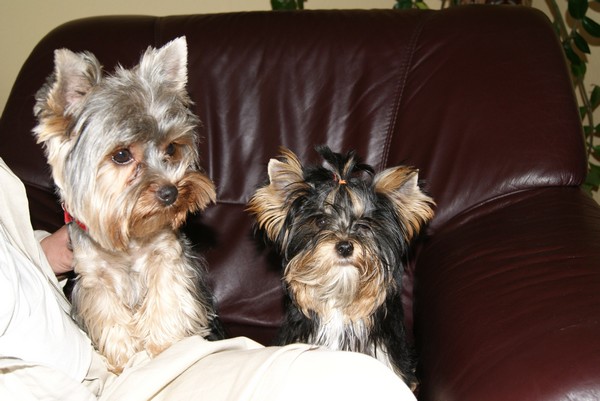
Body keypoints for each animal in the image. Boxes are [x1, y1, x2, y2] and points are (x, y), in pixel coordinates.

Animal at [33, 37, 221, 373]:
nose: (171, 192)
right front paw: (123, 359)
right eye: (121, 155)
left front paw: (164, 346)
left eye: (171, 148)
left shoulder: (167, 257)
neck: (130, 236)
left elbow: (166, 300)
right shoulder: (94, 278)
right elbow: (109, 316)